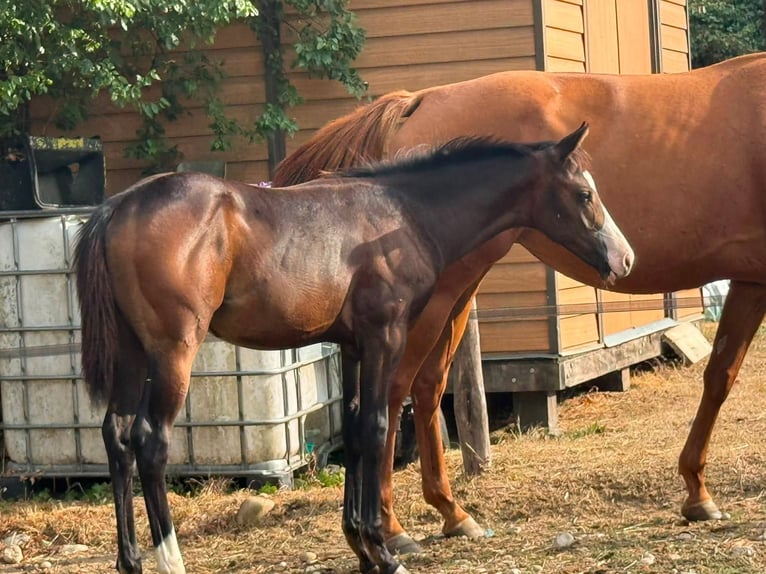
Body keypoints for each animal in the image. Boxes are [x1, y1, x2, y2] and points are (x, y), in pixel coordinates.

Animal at [74, 124, 634, 574]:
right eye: (584, 193)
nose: (624, 259)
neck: (402, 214)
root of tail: (116, 207)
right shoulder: (386, 335)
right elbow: (377, 426)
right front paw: (383, 551)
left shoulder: (351, 345)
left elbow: (354, 424)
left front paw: (361, 548)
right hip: (173, 352)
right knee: (150, 441)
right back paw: (170, 560)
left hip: (131, 356)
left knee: (116, 437)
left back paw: (131, 561)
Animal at [272, 52, 766, 553]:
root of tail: (419, 100)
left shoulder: (751, 280)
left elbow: (720, 376)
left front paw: (697, 491)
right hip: (438, 296)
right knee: (395, 392)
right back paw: (393, 527)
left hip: (455, 292)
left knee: (428, 386)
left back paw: (452, 513)